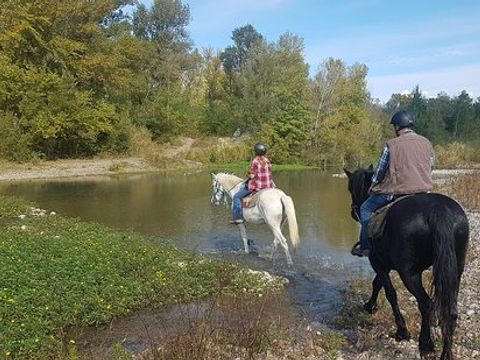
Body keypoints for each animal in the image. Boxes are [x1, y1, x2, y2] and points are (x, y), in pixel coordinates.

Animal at [344, 167, 470, 360]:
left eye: (351, 188)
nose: (353, 212)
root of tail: (439, 211)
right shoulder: (385, 264)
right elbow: (377, 284)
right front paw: (370, 305)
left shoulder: (378, 263)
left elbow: (389, 292)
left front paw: (401, 331)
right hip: (456, 271)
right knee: (451, 311)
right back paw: (445, 352)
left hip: (409, 274)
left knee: (426, 303)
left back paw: (425, 344)